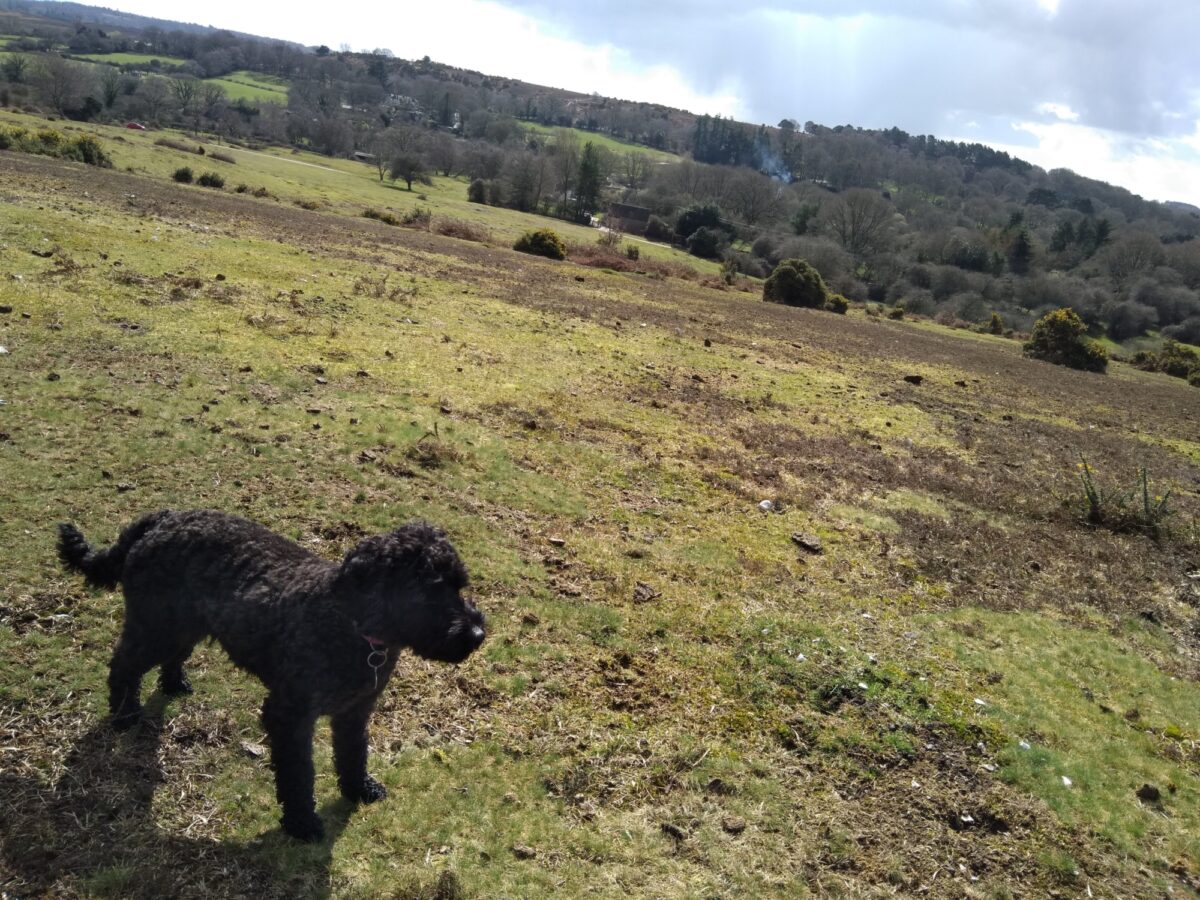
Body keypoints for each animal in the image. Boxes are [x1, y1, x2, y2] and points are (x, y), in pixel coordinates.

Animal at [55, 511, 487, 844]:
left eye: (459, 585)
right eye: (430, 588)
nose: (478, 633)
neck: (350, 624)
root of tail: (163, 518)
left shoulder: (354, 711)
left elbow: (353, 754)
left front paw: (358, 789)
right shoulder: (289, 714)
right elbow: (299, 773)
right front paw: (302, 823)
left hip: (185, 625)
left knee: (168, 658)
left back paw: (175, 684)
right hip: (154, 626)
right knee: (122, 665)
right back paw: (124, 715)